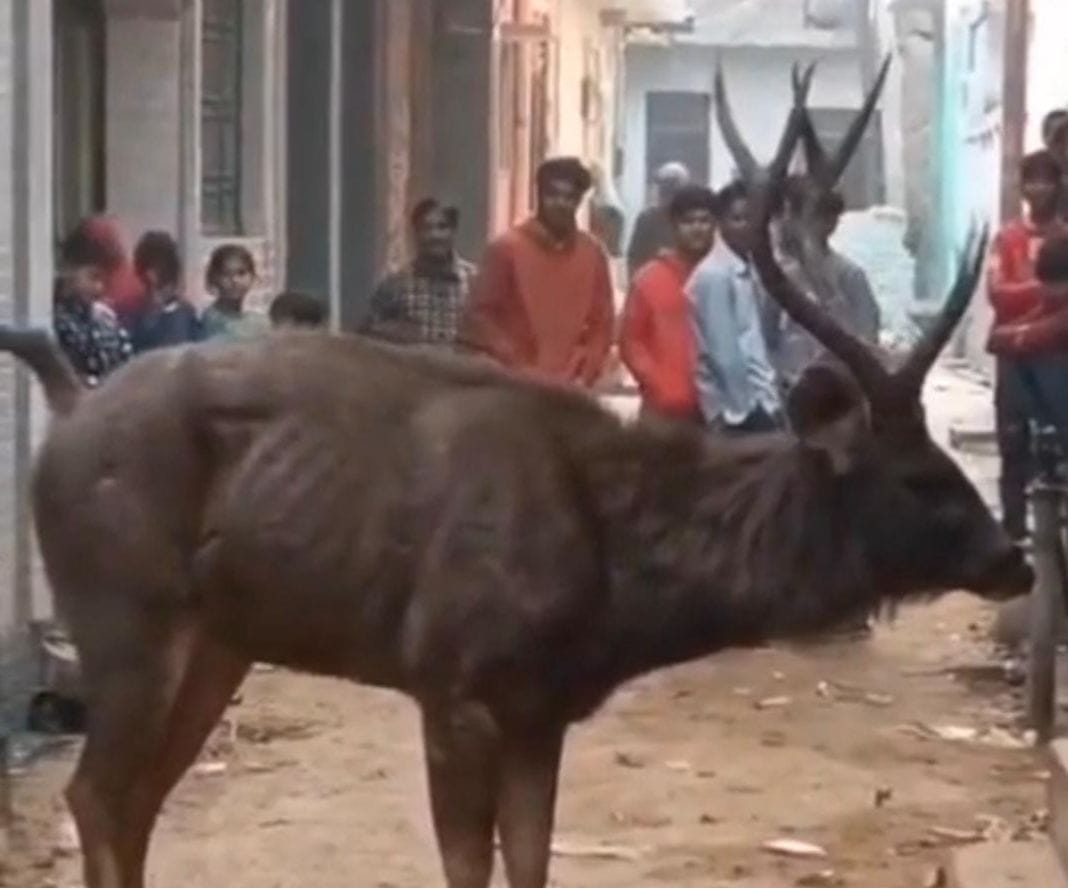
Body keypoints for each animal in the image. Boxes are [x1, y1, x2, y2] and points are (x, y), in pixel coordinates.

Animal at [2, 74, 1030, 888]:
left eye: (949, 461)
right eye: (919, 476)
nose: (1014, 560)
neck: (616, 593)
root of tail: (67, 408)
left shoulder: (543, 708)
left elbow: (531, 863)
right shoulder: (452, 679)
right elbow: (469, 865)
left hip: (220, 640)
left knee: (133, 801)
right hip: (123, 608)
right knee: (95, 796)